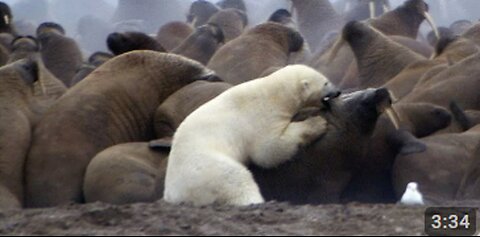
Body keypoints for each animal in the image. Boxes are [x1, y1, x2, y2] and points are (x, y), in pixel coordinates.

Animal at [165, 64, 342, 206]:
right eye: (326, 82)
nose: (338, 91)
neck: (274, 93)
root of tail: (172, 194)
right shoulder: (260, 116)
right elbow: (268, 150)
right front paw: (318, 123)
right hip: (205, 169)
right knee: (236, 179)